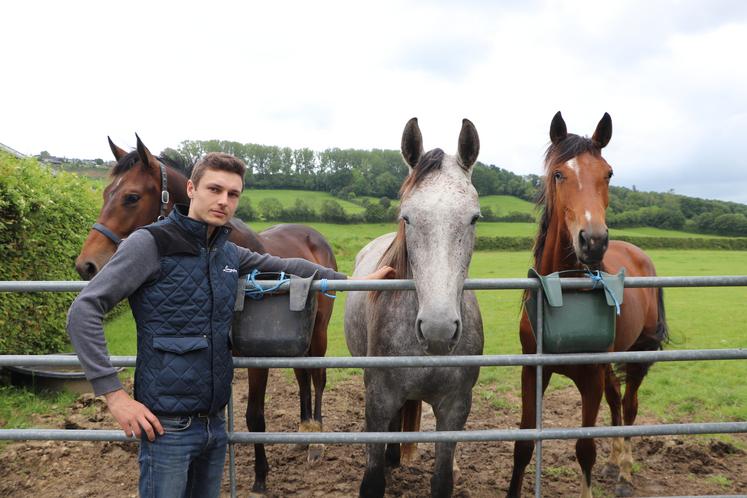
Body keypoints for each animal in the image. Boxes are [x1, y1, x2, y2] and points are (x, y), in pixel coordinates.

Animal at [73, 135, 336, 494]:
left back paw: (316, 442)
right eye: (104, 194)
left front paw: (260, 478)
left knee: (318, 376)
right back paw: (305, 432)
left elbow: (254, 415)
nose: (86, 264)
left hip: (319, 331)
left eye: (131, 197)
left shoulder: (257, 360)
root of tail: (315, 237)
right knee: (302, 376)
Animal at [508, 113, 672, 498]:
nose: (594, 241)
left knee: (628, 406)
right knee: (616, 401)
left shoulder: (590, 378)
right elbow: (524, 443)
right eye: (558, 174)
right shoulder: (532, 371)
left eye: (608, 173)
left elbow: (584, 448)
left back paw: (625, 474)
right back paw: (613, 465)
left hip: (636, 356)